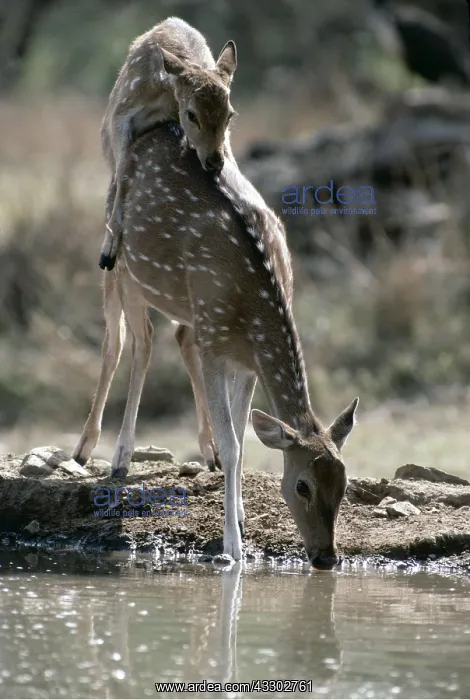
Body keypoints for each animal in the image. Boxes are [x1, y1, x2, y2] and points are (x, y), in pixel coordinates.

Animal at [73, 121, 359, 569]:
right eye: (302, 485)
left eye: (346, 485)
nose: (327, 557)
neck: (252, 302)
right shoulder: (216, 347)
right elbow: (235, 444)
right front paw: (232, 547)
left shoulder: (246, 361)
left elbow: (241, 437)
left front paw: (238, 513)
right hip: (121, 267)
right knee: (127, 343)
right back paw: (104, 455)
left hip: (184, 309)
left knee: (171, 337)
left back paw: (200, 453)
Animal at [99, 16, 237, 272]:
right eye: (191, 114)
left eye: (230, 115)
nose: (214, 161)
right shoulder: (120, 114)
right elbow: (122, 175)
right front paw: (108, 252)